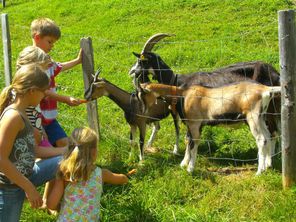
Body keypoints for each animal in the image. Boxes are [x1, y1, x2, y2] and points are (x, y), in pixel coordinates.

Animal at [142, 82, 280, 175]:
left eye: (141, 94)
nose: (143, 113)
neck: (183, 95)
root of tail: (265, 90)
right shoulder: (193, 126)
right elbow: (188, 141)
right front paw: (183, 164)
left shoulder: (195, 124)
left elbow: (194, 145)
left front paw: (190, 169)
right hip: (261, 118)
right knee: (268, 136)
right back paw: (267, 165)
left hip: (253, 118)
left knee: (261, 139)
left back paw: (259, 171)